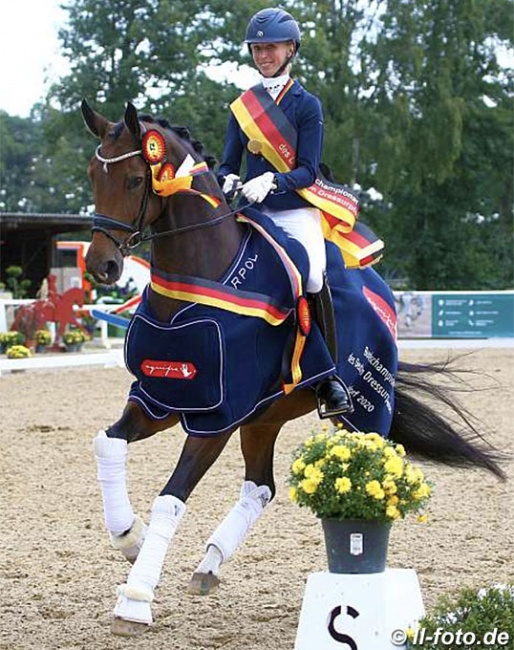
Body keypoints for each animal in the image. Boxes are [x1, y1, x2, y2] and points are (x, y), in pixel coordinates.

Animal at [80, 100, 504, 632]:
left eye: (136, 179)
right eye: (93, 175)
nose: (102, 266)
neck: (197, 282)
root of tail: (380, 291)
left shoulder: (216, 419)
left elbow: (170, 499)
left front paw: (135, 599)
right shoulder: (158, 398)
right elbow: (106, 443)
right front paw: (129, 536)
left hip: (365, 414)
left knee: (377, 469)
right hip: (265, 418)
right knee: (260, 487)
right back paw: (209, 563)